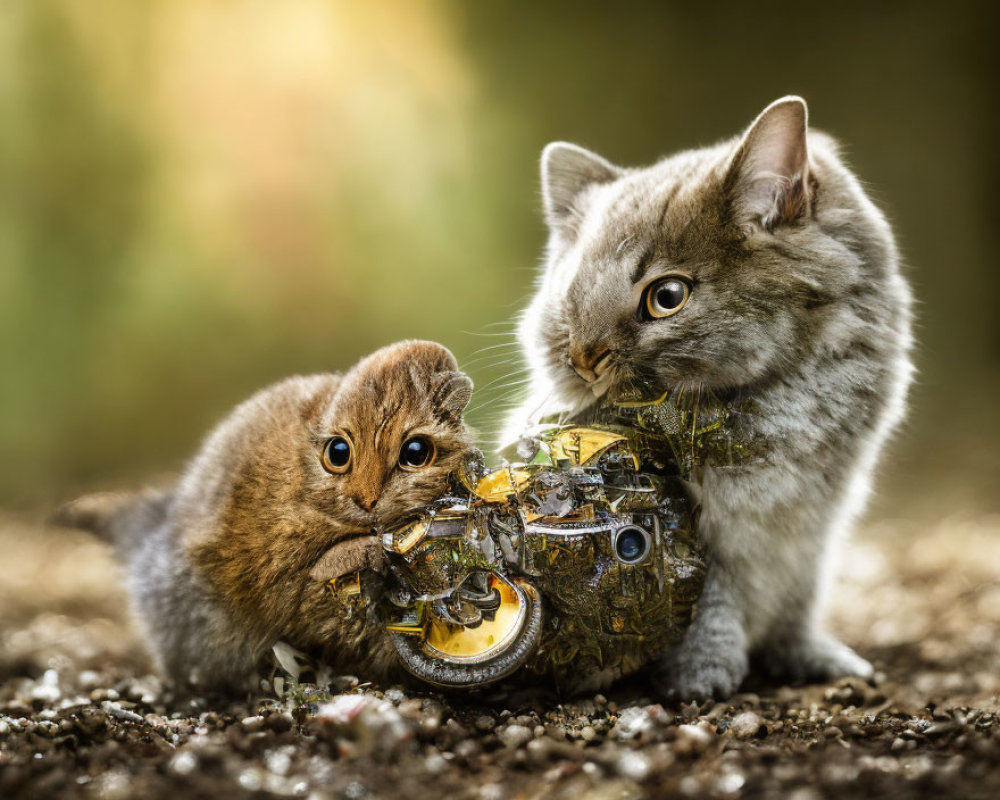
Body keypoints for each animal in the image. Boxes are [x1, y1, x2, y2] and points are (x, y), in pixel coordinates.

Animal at [54, 340, 472, 692]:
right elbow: (314, 575)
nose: (365, 501)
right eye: (338, 452)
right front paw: (365, 551)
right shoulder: (277, 567)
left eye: (416, 452)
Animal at [508, 97, 916, 696]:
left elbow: (798, 600)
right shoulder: (695, 529)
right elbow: (707, 603)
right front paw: (703, 677)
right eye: (571, 298)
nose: (584, 357)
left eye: (668, 297)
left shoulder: (813, 529)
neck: (766, 392)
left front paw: (814, 658)